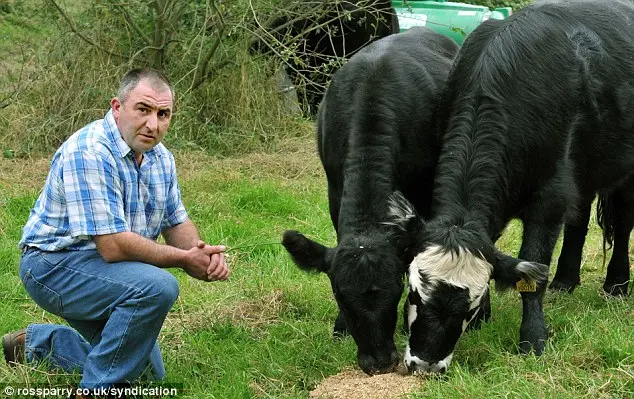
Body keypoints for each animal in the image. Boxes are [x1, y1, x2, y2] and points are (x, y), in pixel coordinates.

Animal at [382, 0, 632, 376]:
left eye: (467, 308)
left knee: (624, 222)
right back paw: (565, 282)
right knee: (579, 219)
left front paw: (532, 339)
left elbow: (533, 272)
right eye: (414, 295)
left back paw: (616, 285)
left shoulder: (548, 199)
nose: (425, 364)